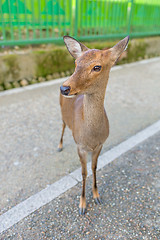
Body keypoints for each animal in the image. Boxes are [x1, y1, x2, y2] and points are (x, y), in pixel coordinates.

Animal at [58, 36, 129, 216]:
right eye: (76, 63)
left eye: (97, 67)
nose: (64, 87)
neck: (91, 136)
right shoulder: (80, 147)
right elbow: (83, 173)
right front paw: (82, 205)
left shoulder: (100, 144)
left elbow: (94, 168)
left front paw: (97, 196)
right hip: (61, 113)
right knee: (62, 125)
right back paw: (60, 146)